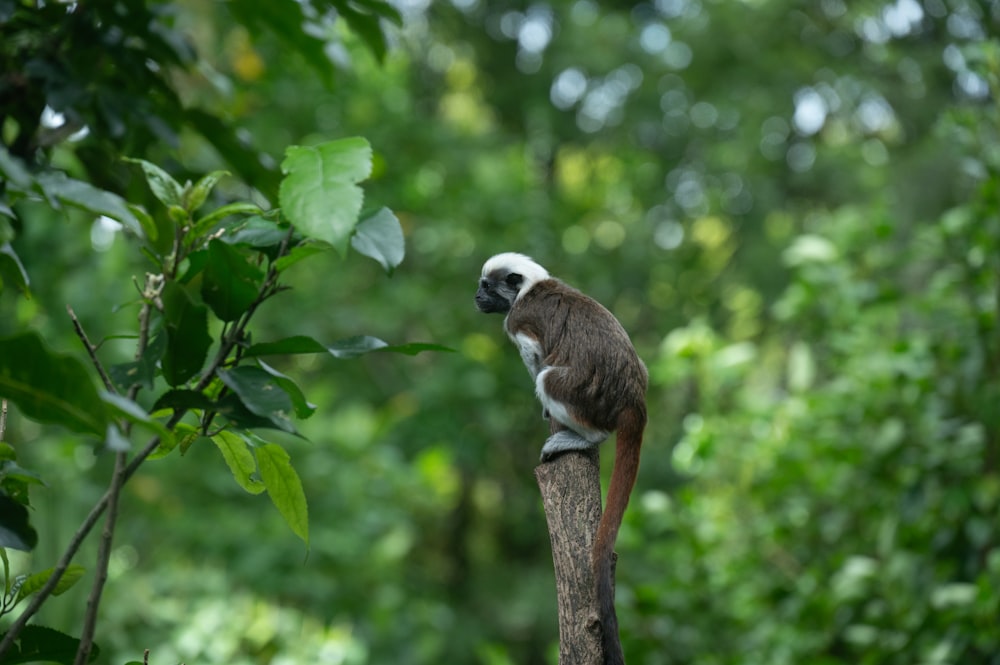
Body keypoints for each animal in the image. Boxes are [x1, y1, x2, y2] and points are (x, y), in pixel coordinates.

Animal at [476, 250, 648, 664]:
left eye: (488, 287)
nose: (477, 298)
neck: (531, 288)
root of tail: (634, 399)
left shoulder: (518, 322)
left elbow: (534, 355)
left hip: (585, 393)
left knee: (548, 378)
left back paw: (582, 436)